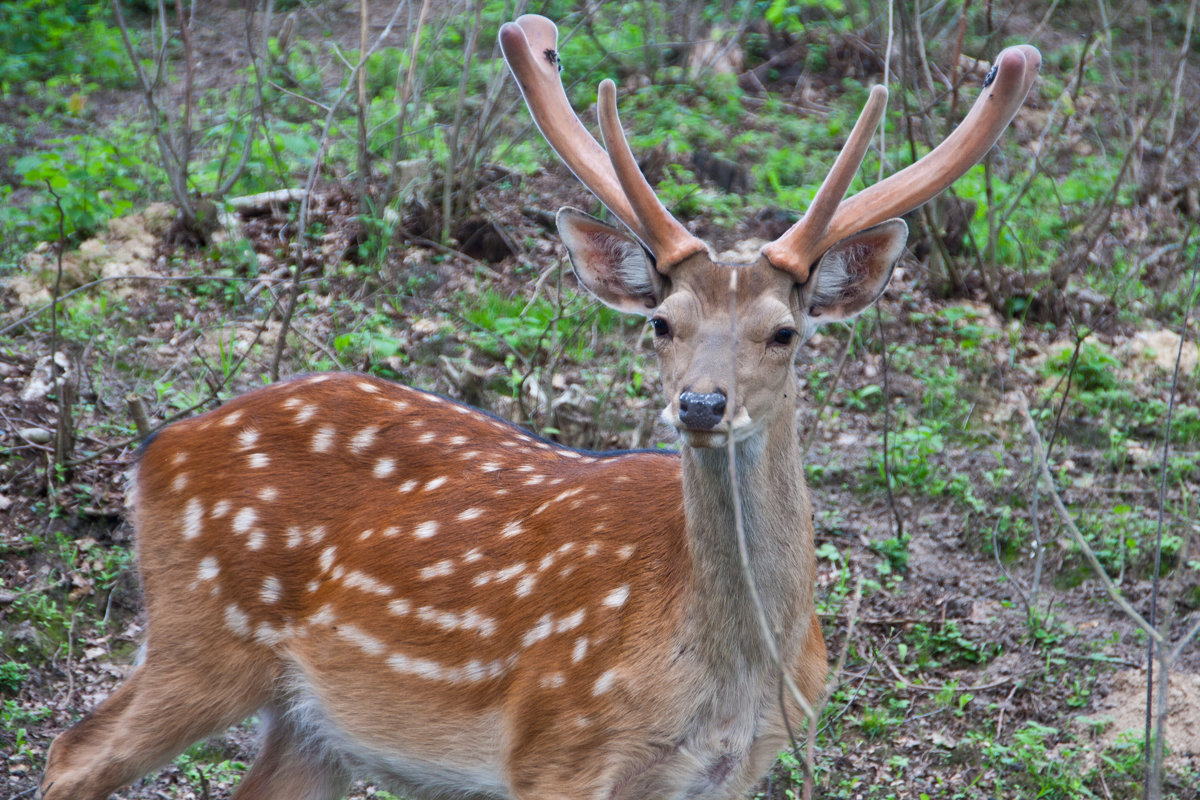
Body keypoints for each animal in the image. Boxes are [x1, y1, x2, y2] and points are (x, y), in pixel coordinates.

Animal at [39, 15, 1041, 800]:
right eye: (662, 323)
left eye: (784, 332)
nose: (701, 405)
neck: (732, 674)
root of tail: (154, 451)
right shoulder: (557, 747)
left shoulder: (736, 772)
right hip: (202, 638)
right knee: (71, 750)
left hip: (311, 720)